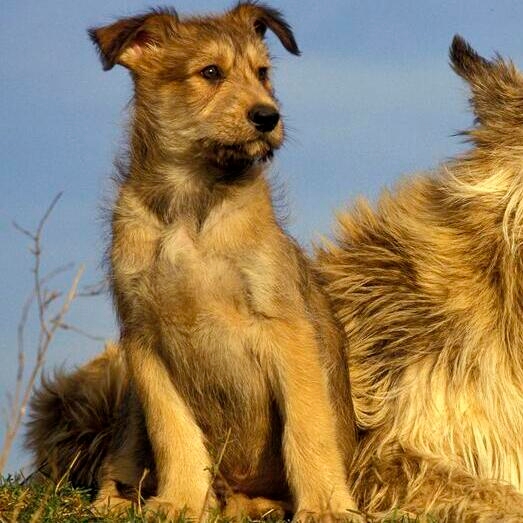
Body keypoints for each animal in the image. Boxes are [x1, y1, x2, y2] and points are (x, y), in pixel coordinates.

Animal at [24, 3, 360, 520]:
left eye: (263, 73)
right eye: (210, 73)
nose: (268, 117)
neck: (190, 204)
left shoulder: (287, 329)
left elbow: (308, 426)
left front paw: (325, 505)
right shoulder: (144, 340)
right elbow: (174, 433)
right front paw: (180, 501)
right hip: (129, 411)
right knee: (125, 457)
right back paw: (116, 501)